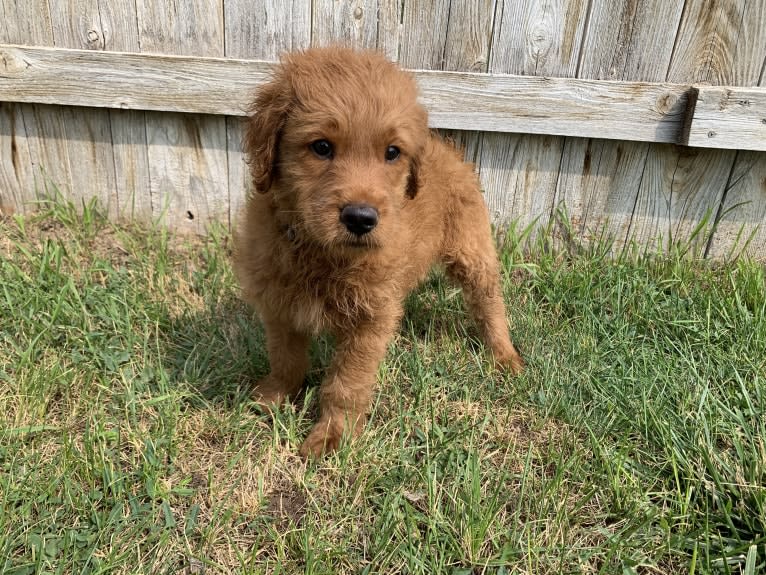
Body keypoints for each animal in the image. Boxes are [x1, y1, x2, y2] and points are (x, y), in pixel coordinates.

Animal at [234, 46, 520, 460]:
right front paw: (273, 395)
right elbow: (285, 358)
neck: (321, 254)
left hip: (472, 250)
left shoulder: (368, 321)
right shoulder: (279, 304)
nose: (360, 218)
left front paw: (333, 436)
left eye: (392, 153)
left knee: (489, 301)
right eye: (321, 147)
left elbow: (346, 383)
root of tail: (445, 148)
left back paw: (503, 354)